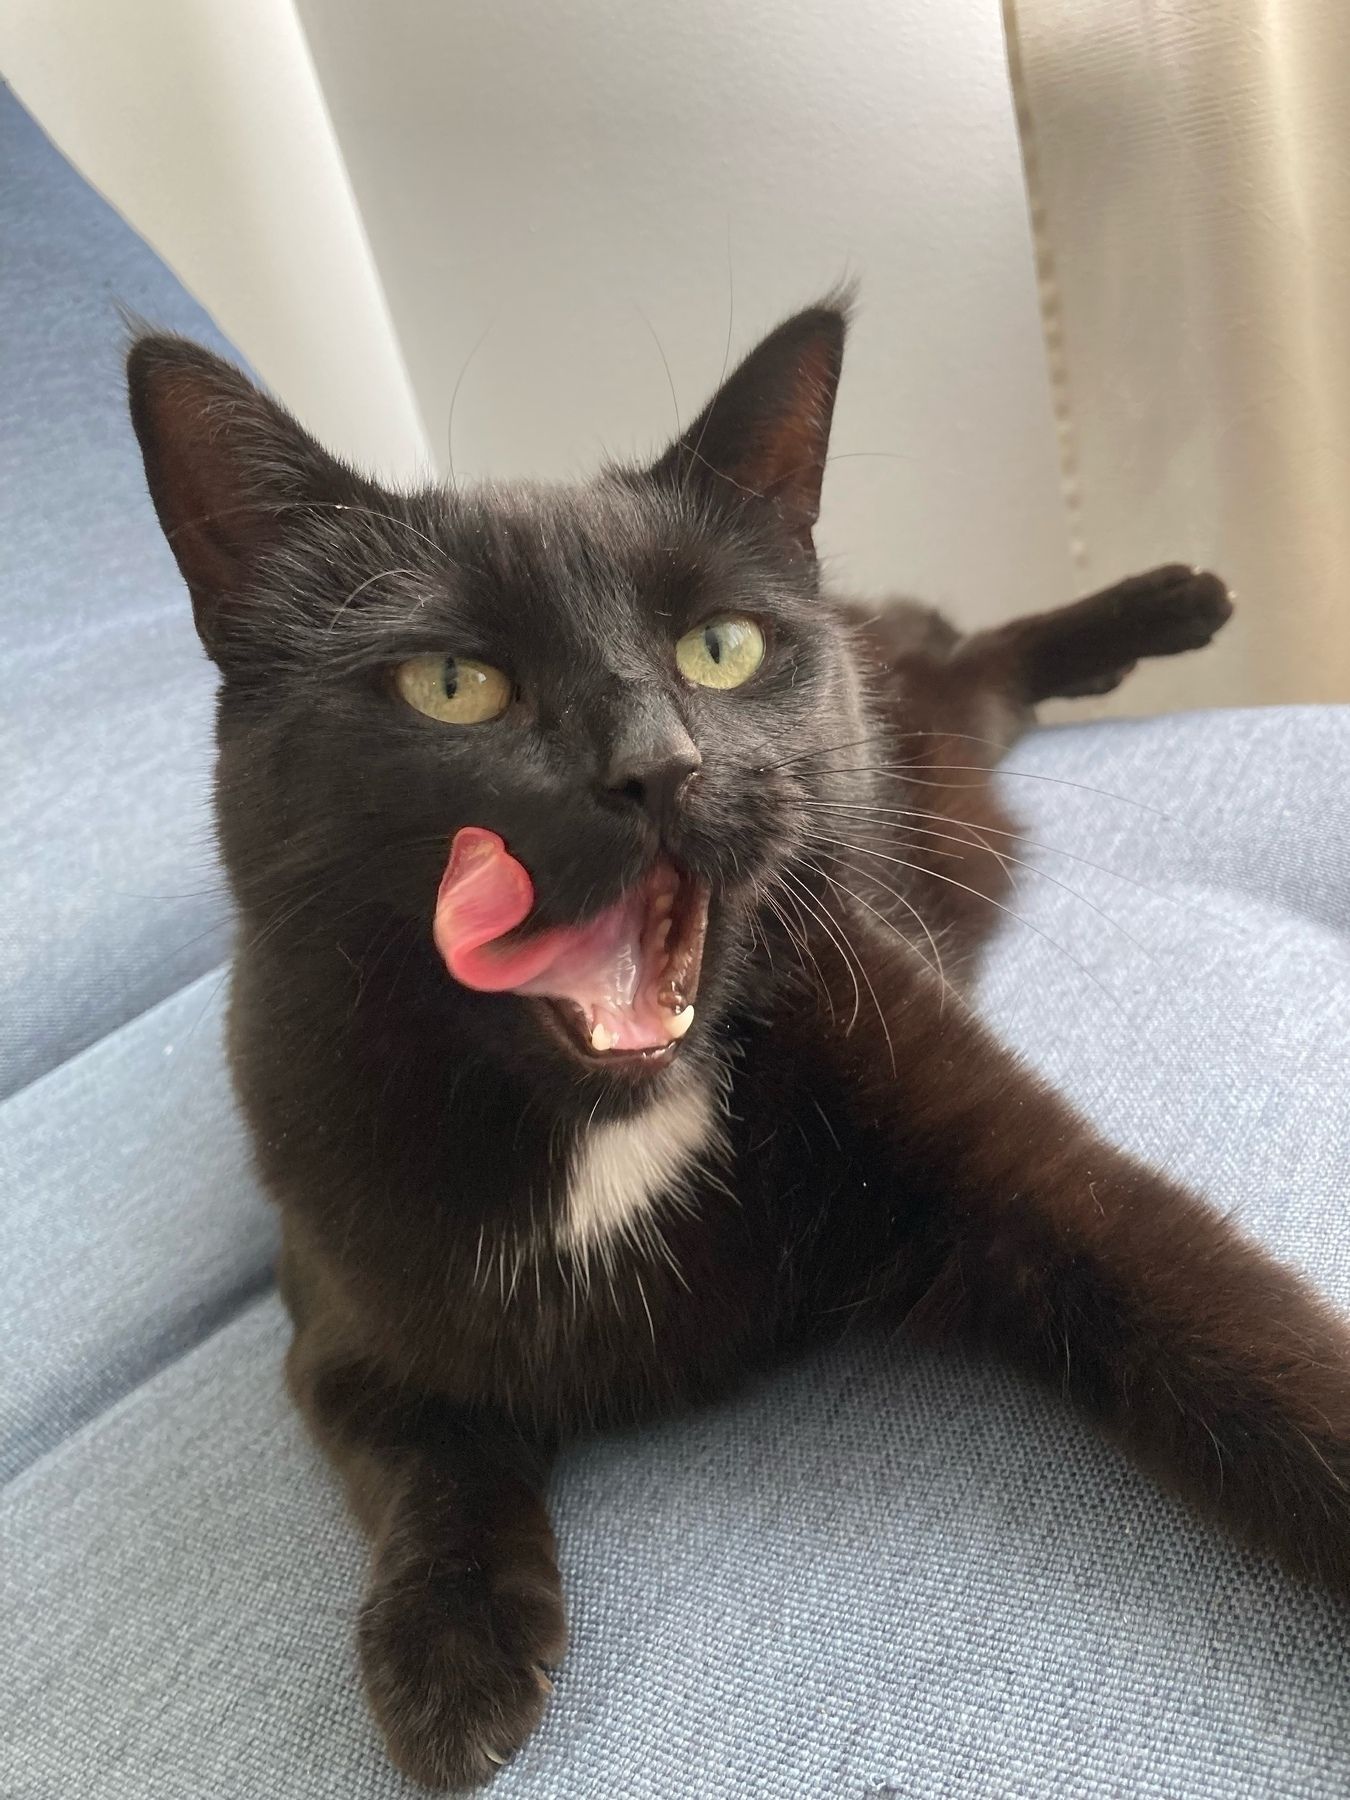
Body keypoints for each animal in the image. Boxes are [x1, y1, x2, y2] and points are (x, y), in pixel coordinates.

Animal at [129, 302, 1350, 1792]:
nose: (657, 767)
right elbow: (414, 1450)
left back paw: (1171, 601)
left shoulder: (1019, 1162)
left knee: (970, 652)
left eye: (720, 650)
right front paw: (446, 1642)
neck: (607, 1130)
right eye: (451, 684)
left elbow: (1238, 1336)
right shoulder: (330, 1308)